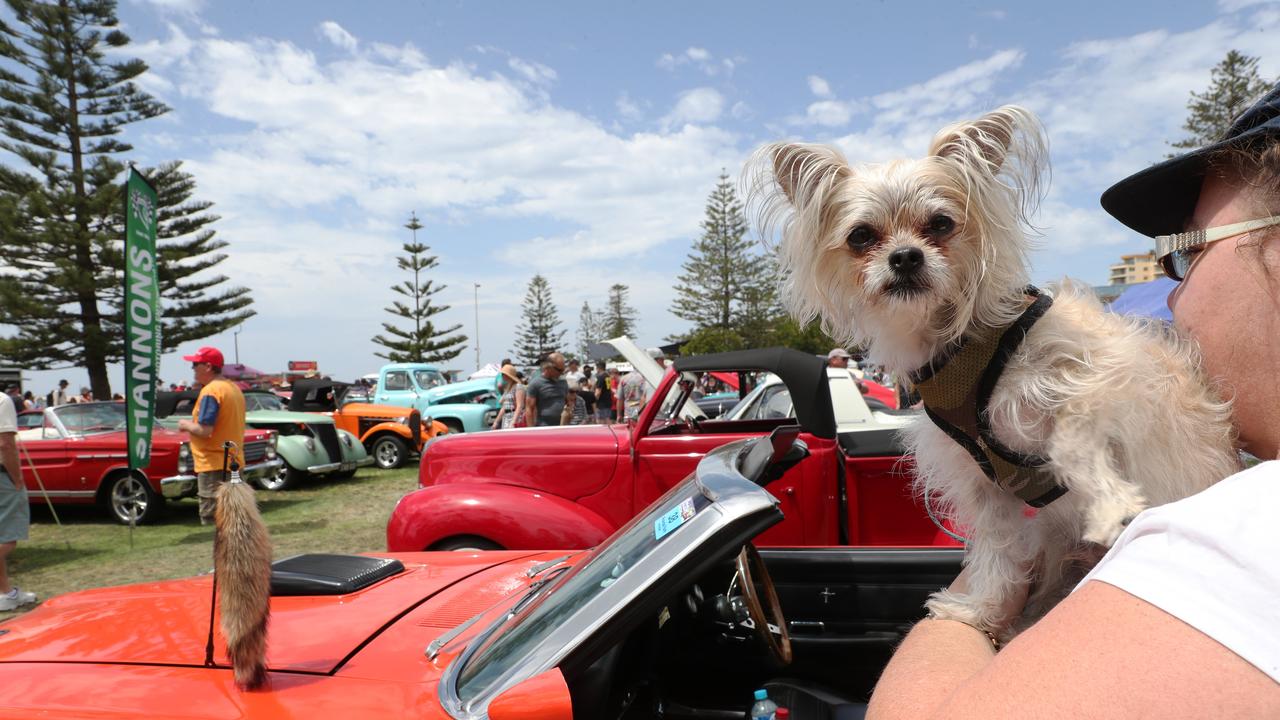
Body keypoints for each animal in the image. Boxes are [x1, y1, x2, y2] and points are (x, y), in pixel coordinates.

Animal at [747, 106, 1239, 632]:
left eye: (941, 224)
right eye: (861, 237)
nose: (905, 256)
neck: (951, 343)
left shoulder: (1100, 377)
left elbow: (1069, 442)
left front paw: (1112, 504)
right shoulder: (982, 487)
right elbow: (998, 556)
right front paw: (982, 612)